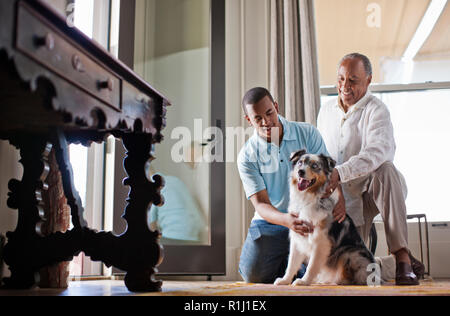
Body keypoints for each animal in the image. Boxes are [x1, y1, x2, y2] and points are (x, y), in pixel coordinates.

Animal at [274, 149, 376, 286]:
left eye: (315, 166)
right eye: (300, 162)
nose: (301, 171)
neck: (308, 198)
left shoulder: (321, 241)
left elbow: (312, 265)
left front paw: (303, 281)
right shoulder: (298, 236)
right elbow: (291, 264)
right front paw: (285, 280)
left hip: (349, 253)